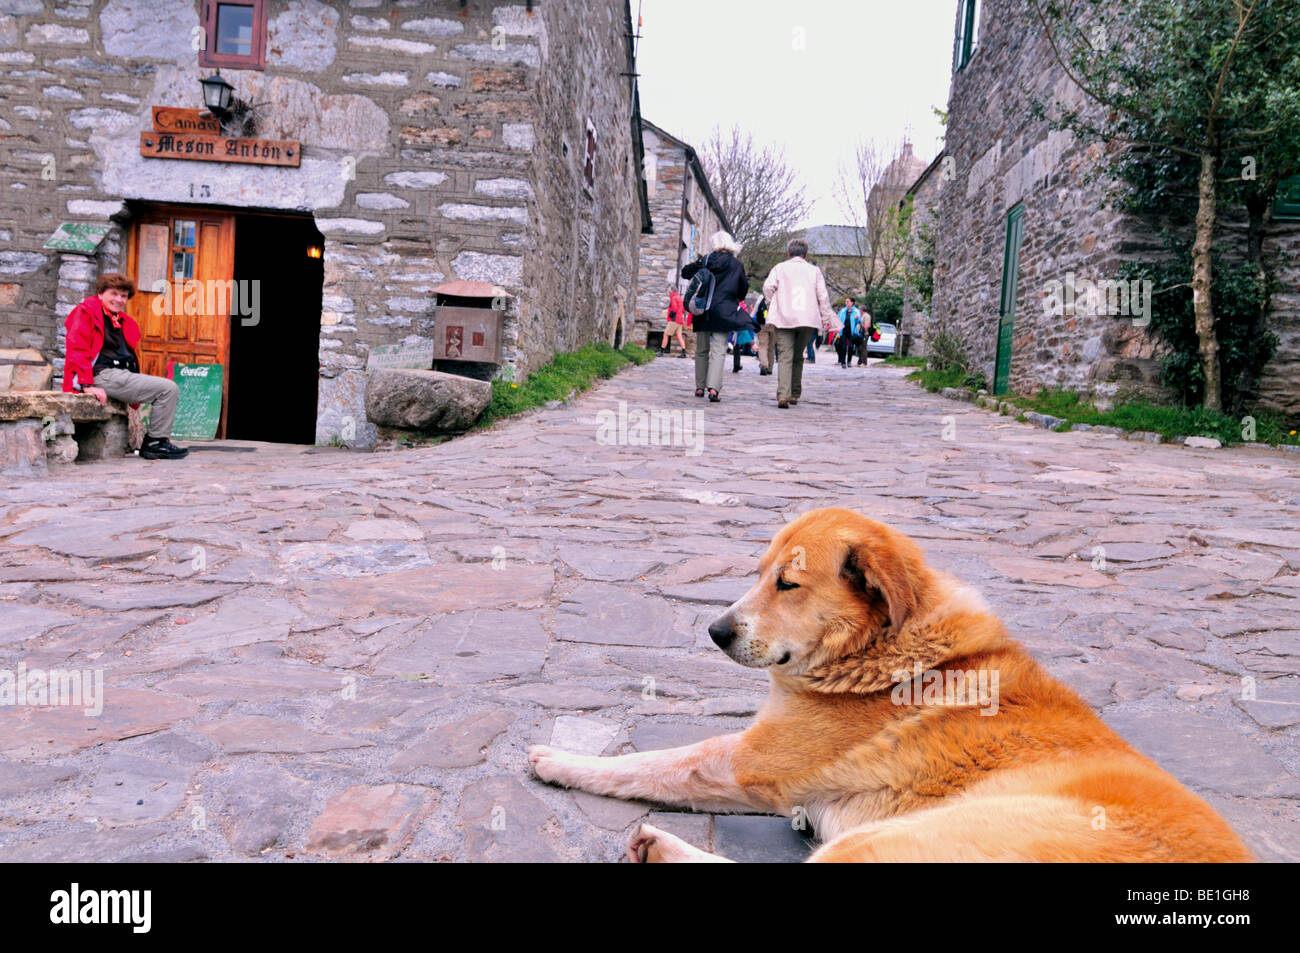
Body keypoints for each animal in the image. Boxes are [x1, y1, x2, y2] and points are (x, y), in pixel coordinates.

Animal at [522, 509, 1253, 858]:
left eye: (788, 583)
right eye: (758, 575)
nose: (714, 631)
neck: (887, 651)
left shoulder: (745, 763)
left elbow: (647, 762)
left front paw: (560, 759)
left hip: (887, 841)